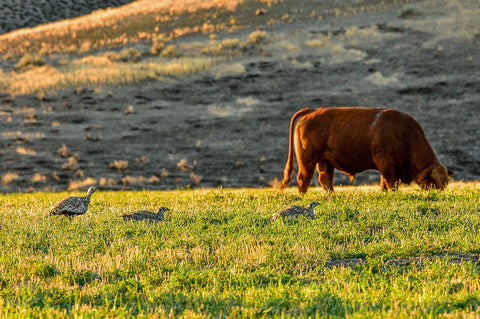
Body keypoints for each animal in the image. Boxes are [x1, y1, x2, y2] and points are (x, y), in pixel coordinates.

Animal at [280, 107, 452, 192]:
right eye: (433, 182)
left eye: (445, 183)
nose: (440, 194)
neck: (403, 135)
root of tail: (312, 111)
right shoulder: (387, 166)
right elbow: (391, 183)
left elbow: (384, 183)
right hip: (307, 161)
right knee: (303, 179)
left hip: (325, 161)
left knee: (325, 180)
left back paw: (333, 196)